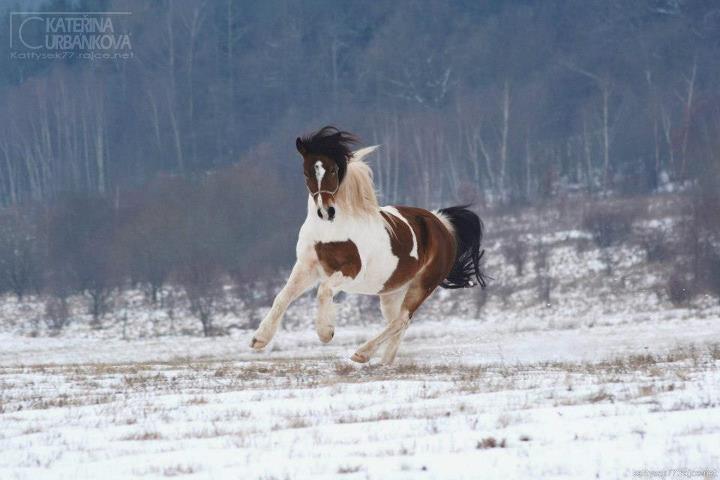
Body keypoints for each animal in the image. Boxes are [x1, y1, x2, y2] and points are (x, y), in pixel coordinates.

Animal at [250, 126, 486, 364]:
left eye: (333, 170)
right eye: (307, 173)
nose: (326, 212)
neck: (330, 230)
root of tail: (442, 223)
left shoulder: (351, 270)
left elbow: (323, 291)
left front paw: (326, 332)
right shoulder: (307, 267)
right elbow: (282, 297)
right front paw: (259, 339)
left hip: (423, 285)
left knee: (402, 320)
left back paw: (362, 354)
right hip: (392, 292)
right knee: (400, 324)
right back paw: (384, 363)